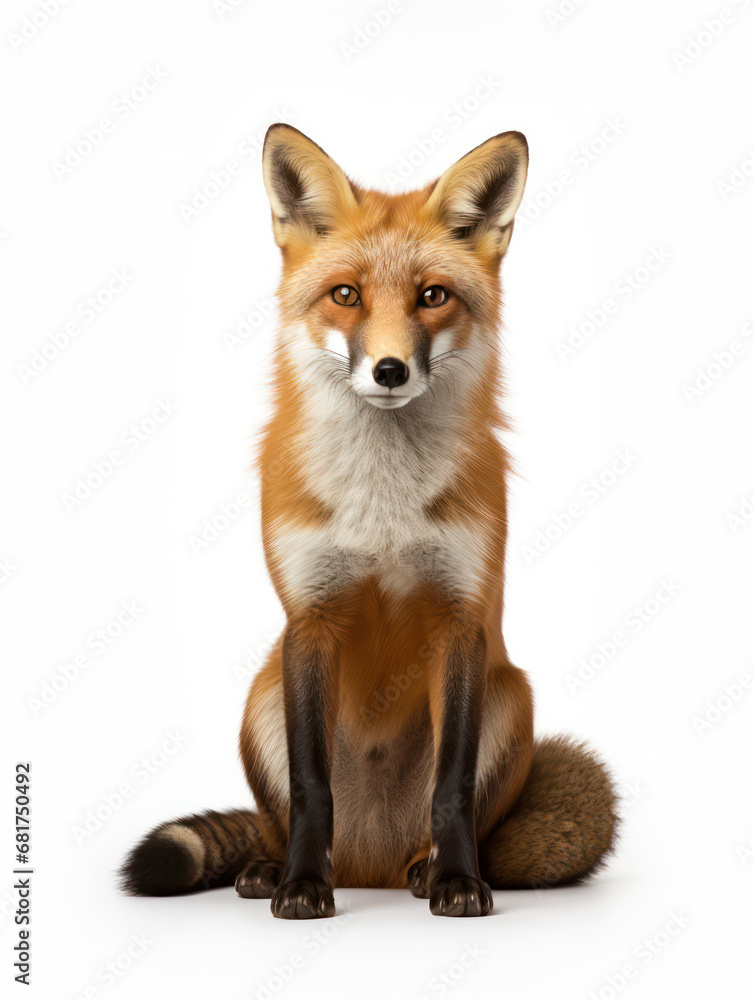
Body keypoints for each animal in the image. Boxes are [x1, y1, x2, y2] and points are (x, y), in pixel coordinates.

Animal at [120, 123, 618, 919]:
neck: (383, 508)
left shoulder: (459, 621)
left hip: (512, 698)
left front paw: (457, 881)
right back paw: (271, 867)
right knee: (283, 819)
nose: (389, 370)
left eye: (433, 296)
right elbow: (311, 786)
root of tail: (368, 862)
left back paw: (423, 869)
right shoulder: (310, 620)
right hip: (261, 694)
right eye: (346, 295)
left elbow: (450, 789)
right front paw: (299, 885)